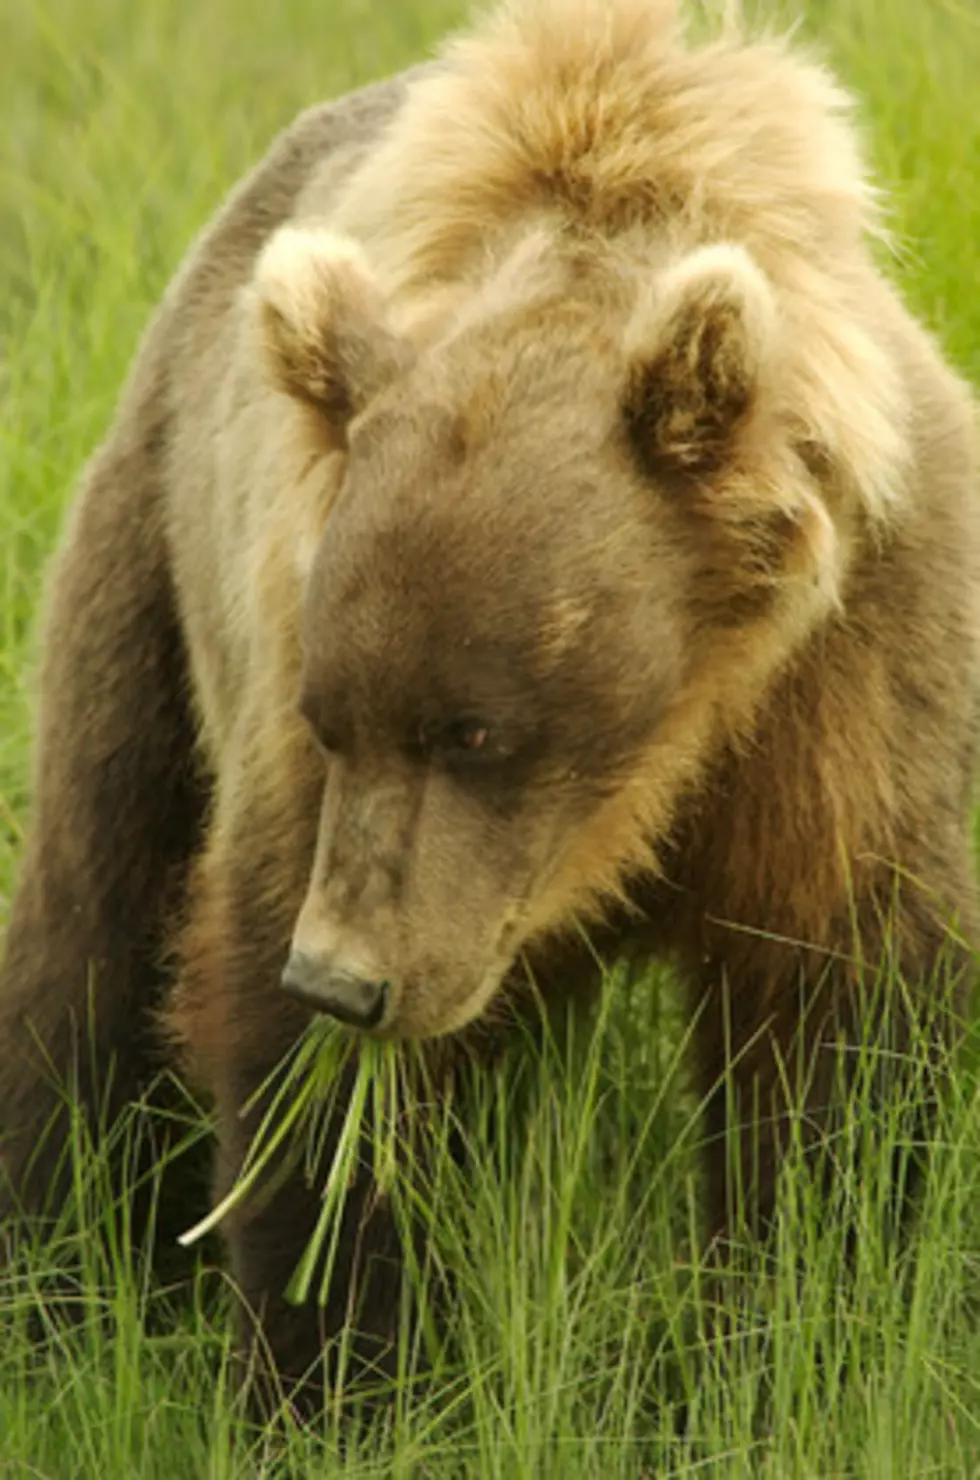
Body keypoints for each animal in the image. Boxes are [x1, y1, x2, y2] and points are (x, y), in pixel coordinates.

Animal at [1, 0, 980, 1408]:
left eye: (474, 728)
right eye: (332, 716)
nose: (343, 979)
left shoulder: (845, 694)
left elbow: (833, 1050)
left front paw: (786, 1347)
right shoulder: (299, 687)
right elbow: (317, 1104)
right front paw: (334, 1375)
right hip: (147, 567)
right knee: (94, 917)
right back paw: (56, 1282)